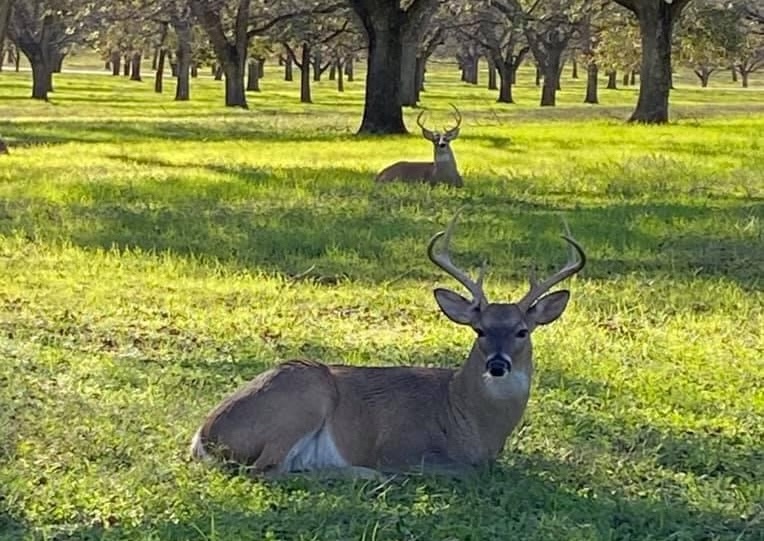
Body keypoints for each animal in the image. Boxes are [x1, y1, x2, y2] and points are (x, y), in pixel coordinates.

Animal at [190, 209, 586, 480]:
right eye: (480, 330)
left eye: (522, 331)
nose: (498, 364)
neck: (466, 416)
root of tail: (204, 439)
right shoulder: (400, 446)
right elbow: (462, 470)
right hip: (306, 394)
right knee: (266, 470)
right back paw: (363, 474)